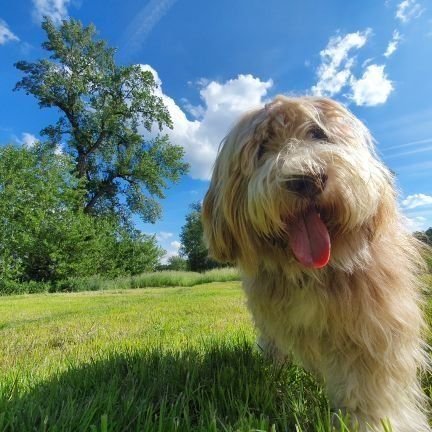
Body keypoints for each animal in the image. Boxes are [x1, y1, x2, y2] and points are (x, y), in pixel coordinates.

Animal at [202, 95, 428, 432]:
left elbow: (369, 383)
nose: (306, 179)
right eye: (262, 146)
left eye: (318, 134)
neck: (313, 272)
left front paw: (370, 422)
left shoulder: (375, 324)